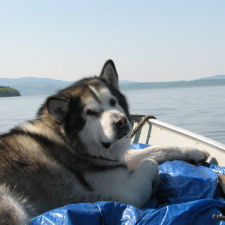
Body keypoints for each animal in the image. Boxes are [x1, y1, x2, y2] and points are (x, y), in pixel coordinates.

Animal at [0, 60, 209, 225]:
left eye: (113, 101)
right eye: (91, 113)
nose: (121, 121)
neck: (68, 143)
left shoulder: (115, 160)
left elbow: (156, 150)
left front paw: (193, 151)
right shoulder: (127, 192)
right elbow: (149, 163)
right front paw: (156, 183)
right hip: (12, 206)